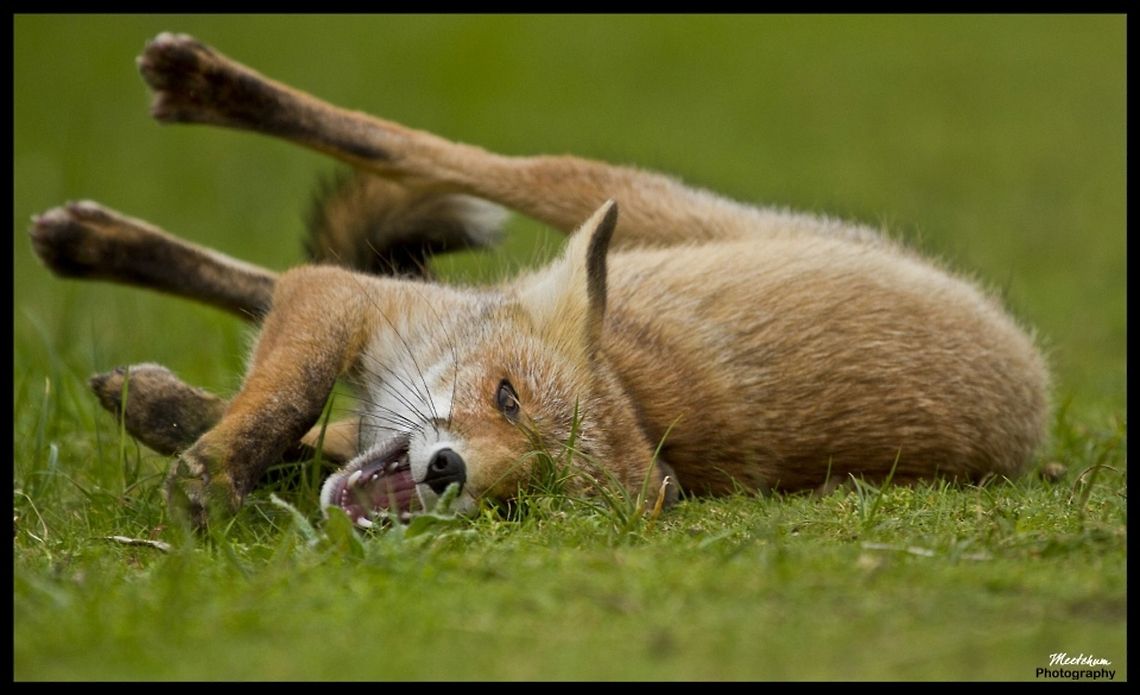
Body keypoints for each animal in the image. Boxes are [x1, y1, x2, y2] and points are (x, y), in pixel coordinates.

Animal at [29, 33, 1051, 528]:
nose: (447, 471)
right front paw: (217, 468)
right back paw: (187, 100)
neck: (637, 395)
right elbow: (288, 393)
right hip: (601, 192)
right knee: (421, 152)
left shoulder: (369, 317)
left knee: (278, 282)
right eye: (507, 398)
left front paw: (198, 437)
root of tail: (1031, 366)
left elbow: (302, 411)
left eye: (535, 491)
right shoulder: (358, 302)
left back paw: (141, 357)